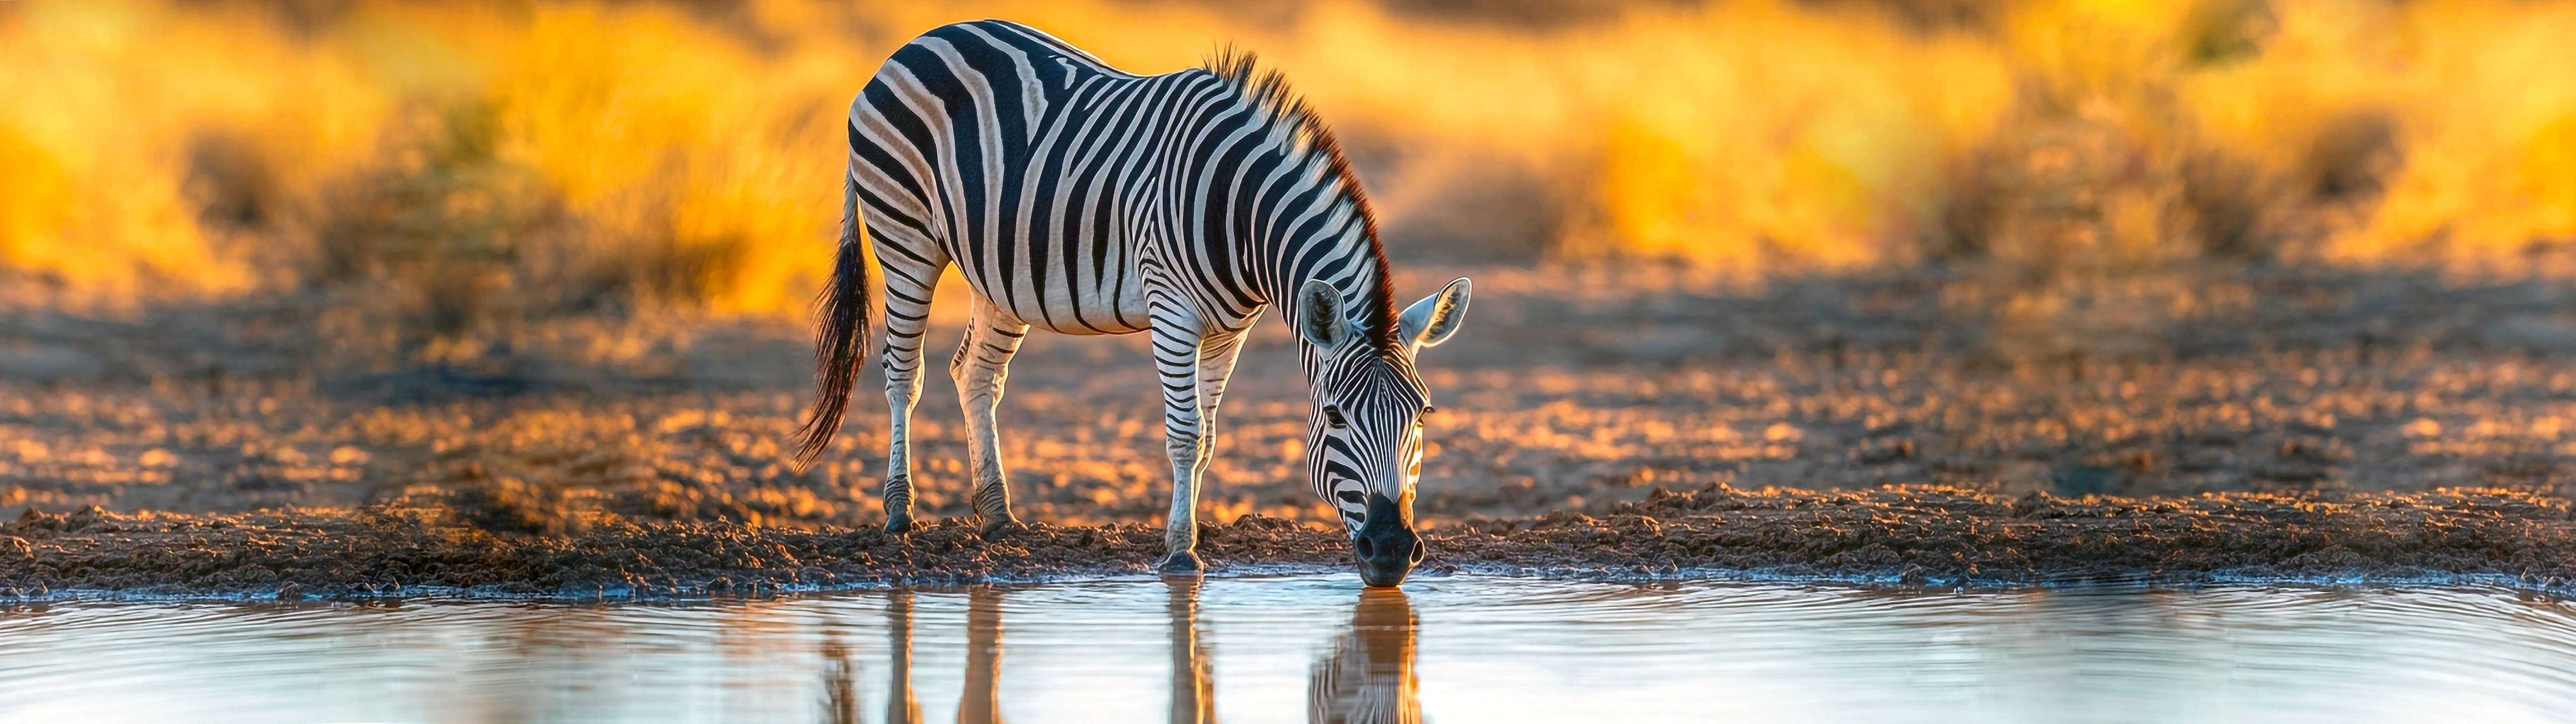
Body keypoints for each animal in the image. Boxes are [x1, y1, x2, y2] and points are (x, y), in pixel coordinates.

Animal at [794, 20, 1471, 587]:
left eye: (1422, 416)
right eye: (1332, 417)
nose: (1390, 552)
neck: (1240, 214)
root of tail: (916, 42)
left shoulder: (1230, 330)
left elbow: (1208, 438)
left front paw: (1189, 532)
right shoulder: (1172, 310)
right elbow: (1184, 433)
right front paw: (1179, 553)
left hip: (997, 273)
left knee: (975, 374)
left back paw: (998, 518)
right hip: (904, 234)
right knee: (902, 375)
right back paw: (898, 514)